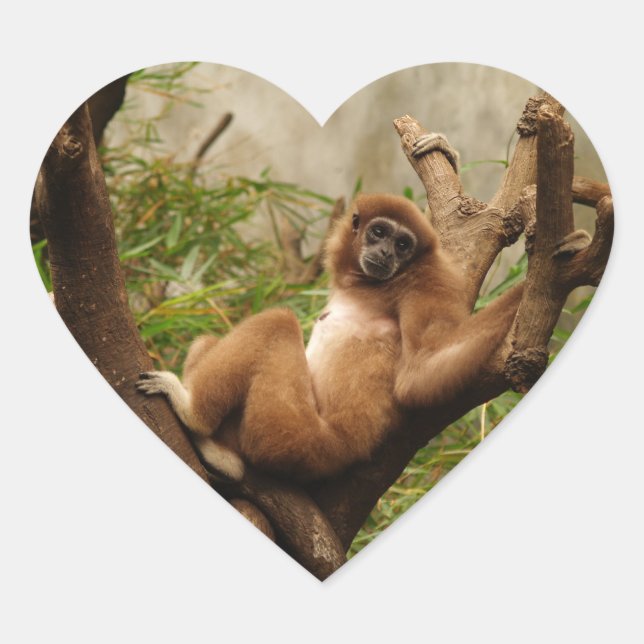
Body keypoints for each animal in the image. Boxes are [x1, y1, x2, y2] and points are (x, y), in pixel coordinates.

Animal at [136, 191, 523, 483]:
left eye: (403, 244)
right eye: (379, 233)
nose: (386, 252)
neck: (372, 286)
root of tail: (342, 451)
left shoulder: (429, 279)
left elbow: (421, 372)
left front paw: (526, 289)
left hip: (292, 435)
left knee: (277, 322)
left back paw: (194, 417)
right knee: (210, 342)